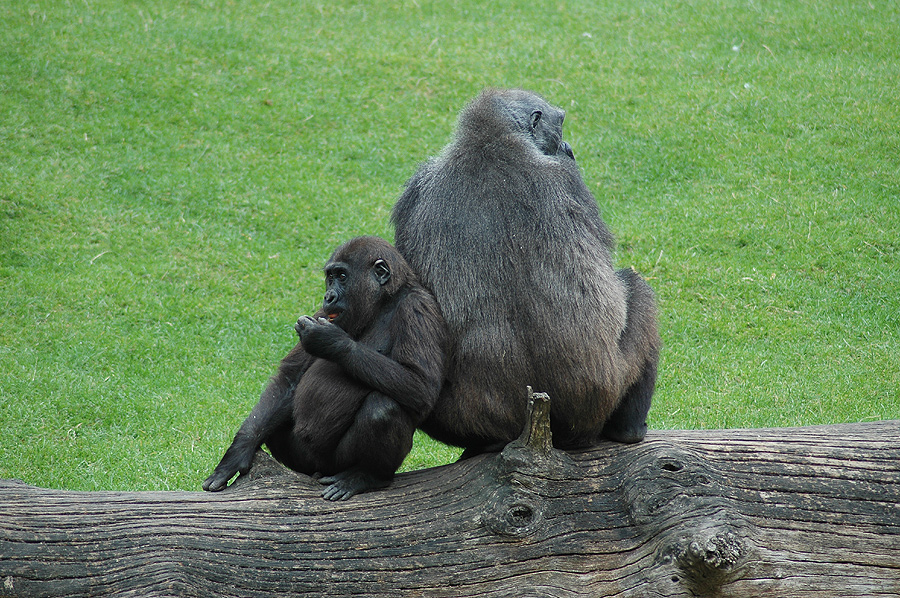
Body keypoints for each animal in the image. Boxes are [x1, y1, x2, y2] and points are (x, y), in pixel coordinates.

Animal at [201, 237, 446, 504]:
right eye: (330, 277)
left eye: (342, 276)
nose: (328, 296)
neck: (383, 302)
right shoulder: (320, 313)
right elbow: (289, 380)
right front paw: (237, 453)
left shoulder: (417, 308)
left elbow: (421, 385)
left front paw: (331, 342)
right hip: (308, 463)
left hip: (338, 464)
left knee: (383, 408)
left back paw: (367, 476)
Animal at [394, 88, 660, 454]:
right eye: (560, 125)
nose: (568, 147)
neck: (490, 143)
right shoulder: (567, 176)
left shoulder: (413, 189)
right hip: (593, 407)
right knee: (640, 291)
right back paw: (629, 429)